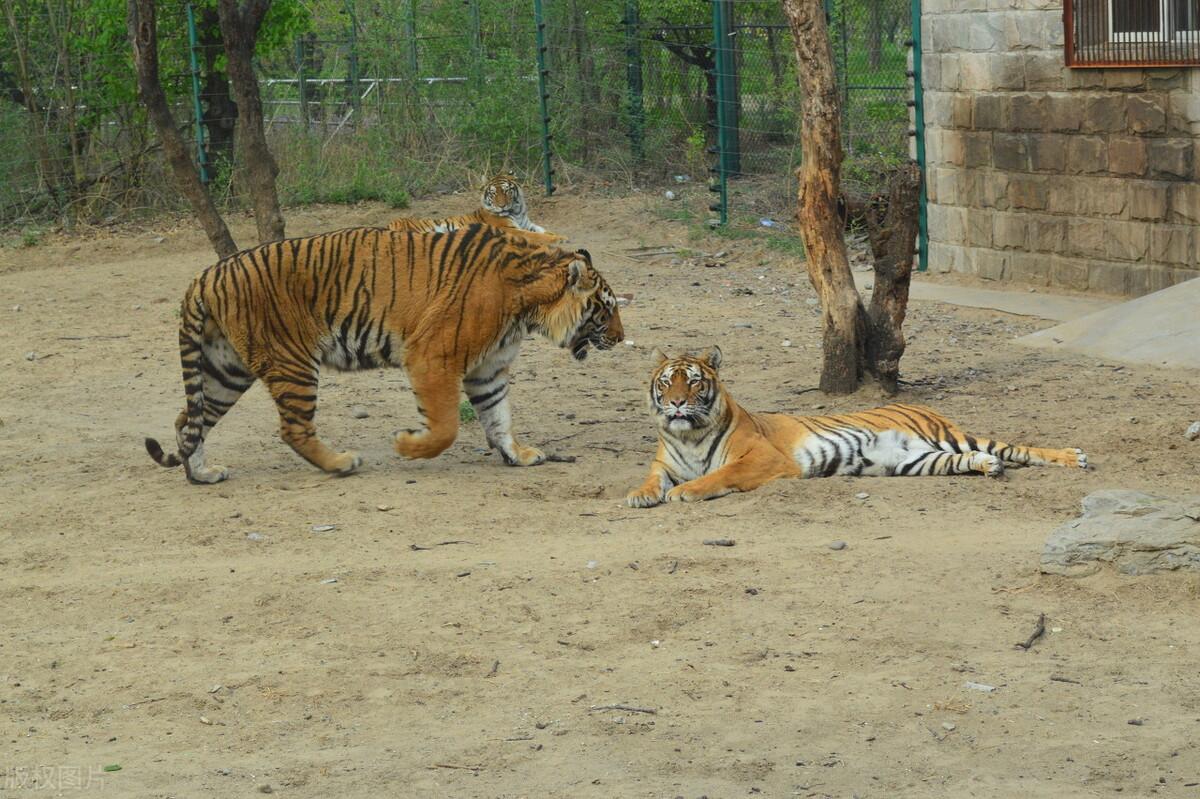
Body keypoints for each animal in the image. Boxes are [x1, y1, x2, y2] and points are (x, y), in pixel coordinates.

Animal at [145, 220, 624, 482]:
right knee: (293, 429)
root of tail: (205, 275)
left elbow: (499, 416)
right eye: (606, 308)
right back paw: (341, 463)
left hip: (225, 370)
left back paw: (202, 474)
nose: (621, 338)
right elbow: (446, 426)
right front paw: (406, 446)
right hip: (290, 362)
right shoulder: (433, 356)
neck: (528, 304)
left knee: (187, 420)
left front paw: (518, 455)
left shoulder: (488, 369)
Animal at [391, 171, 564, 239]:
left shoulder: (529, 224)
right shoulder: (510, 228)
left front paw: (558, 235)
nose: (502, 206)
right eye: (493, 193)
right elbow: (536, 236)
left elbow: (543, 231)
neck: (516, 210)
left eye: (506, 191)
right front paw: (559, 238)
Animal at [628, 343, 1089, 503]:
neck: (688, 436)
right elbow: (651, 479)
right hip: (917, 461)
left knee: (1015, 448)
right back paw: (988, 468)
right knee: (975, 459)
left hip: (953, 436)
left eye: (694, 381)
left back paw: (1075, 457)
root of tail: (928, 408)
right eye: (667, 381)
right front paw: (640, 496)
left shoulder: (764, 459)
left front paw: (685, 492)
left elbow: (716, 476)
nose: (676, 404)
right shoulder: (664, 464)